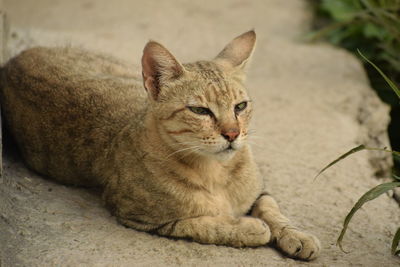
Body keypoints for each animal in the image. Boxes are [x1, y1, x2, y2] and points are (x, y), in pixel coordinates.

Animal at [0, 30, 318, 260]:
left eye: (240, 106)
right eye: (200, 111)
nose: (232, 133)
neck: (215, 172)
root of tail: (13, 61)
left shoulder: (259, 191)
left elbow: (273, 210)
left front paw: (298, 236)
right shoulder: (144, 217)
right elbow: (204, 223)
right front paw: (249, 228)